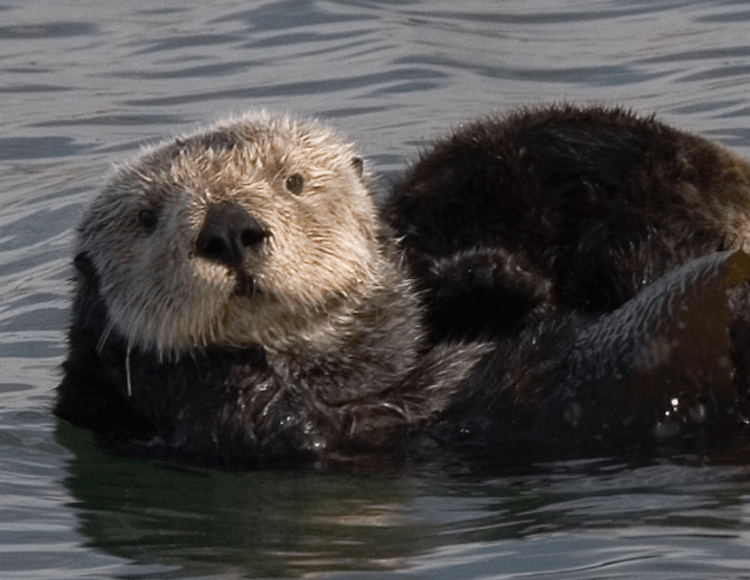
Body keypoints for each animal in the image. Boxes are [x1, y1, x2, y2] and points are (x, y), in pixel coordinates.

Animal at [56, 108, 750, 469]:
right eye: (147, 218)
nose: (228, 228)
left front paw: (490, 275)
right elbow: (275, 421)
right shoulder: (228, 431)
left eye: (293, 182)